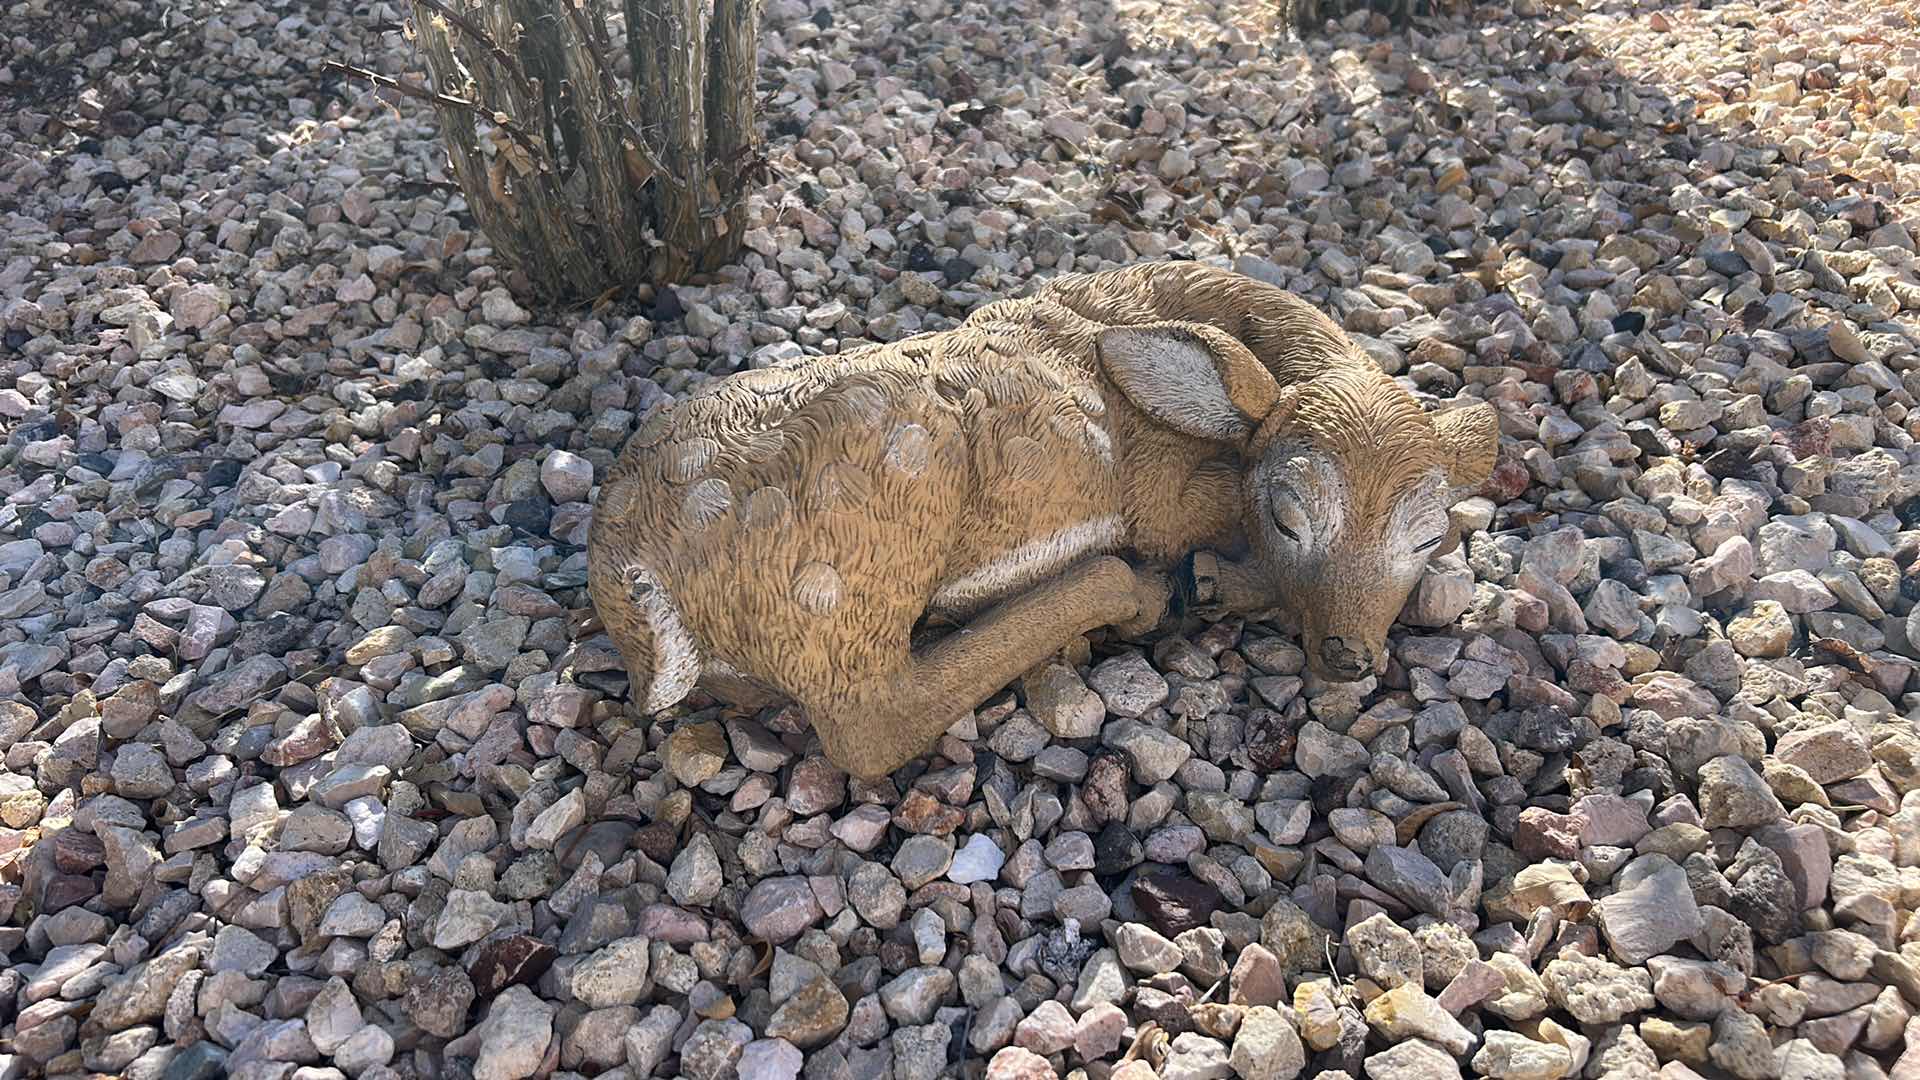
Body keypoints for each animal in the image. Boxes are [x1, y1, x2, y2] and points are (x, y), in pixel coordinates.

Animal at [586, 259, 1499, 780]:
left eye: (1427, 535)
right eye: (1288, 515)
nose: (1350, 656)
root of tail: (631, 571)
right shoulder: (1157, 491)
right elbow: (1208, 525)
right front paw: (1204, 580)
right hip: (860, 548)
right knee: (872, 725)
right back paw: (1127, 593)